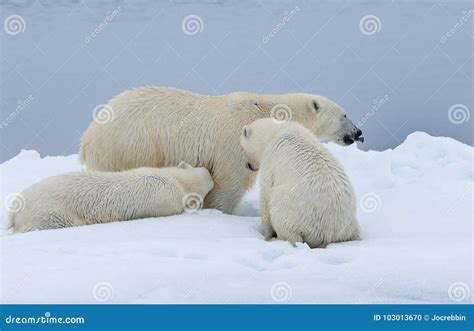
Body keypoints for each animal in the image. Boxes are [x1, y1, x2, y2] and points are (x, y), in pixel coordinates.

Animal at [10, 161, 214, 233]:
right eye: (210, 181)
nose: (210, 172)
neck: (176, 181)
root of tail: (15, 209)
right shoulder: (166, 199)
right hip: (50, 212)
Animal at [81, 87, 362, 214]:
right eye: (344, 114)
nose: (358, 132)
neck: (267, 109)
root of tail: (89, 136)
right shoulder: (235, 143)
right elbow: (230, 183)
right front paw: (218, 212)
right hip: (131, 145)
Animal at [241, 119, 360, 249]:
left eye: (242, 148)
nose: (247, 165)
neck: (276, 132)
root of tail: (329, 234)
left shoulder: (270, 161)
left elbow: (266, 194)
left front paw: (266, 233)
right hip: (349, 225)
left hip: (299, 213)